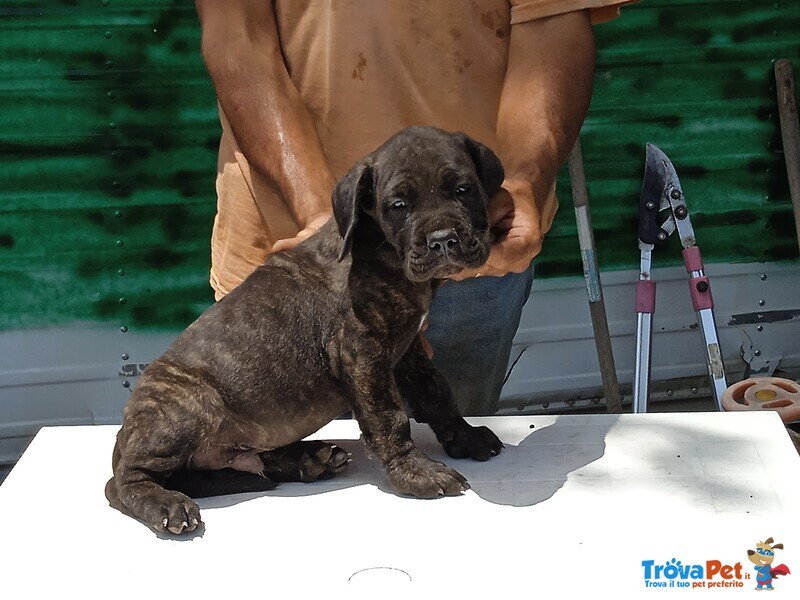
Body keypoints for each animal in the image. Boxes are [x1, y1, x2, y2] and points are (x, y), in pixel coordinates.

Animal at [105, 126, 504, 536]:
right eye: (398, 205)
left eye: (463, 189)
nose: (442, 239)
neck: (381, 250)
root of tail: (125, 434)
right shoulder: (362, 353)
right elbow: (389, 417)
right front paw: (417, 473)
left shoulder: (407, 350)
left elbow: (436, 392)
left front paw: (465, 436)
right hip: (185, 407)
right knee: (126, 480)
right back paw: (165, 502)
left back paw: (309, 459)